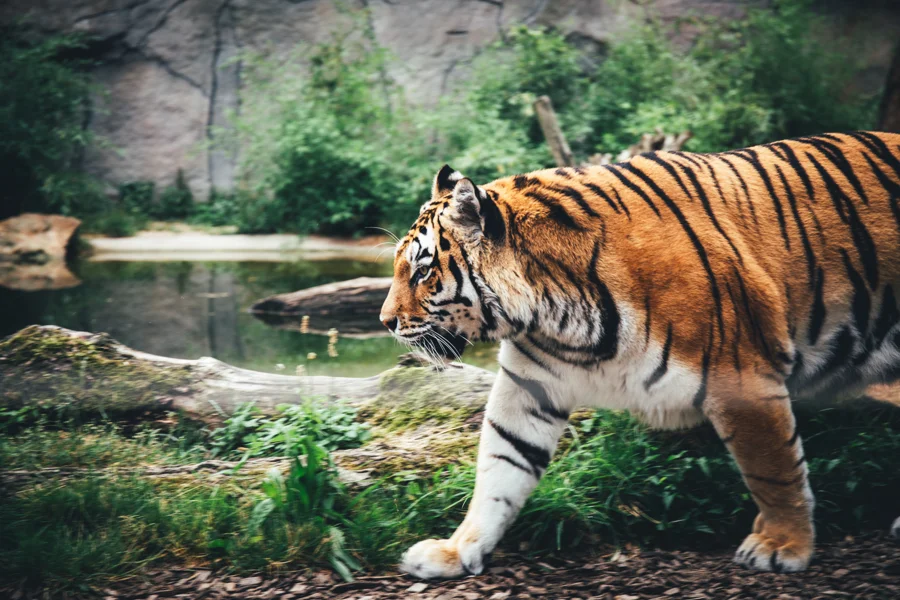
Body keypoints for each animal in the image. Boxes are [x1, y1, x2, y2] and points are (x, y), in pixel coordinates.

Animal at [379, 131, 900, 578]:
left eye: (423, 271)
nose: (385, 322)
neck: (553, 314)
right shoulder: (530, 387)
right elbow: (499, 469)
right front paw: (457, 550)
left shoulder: (744, 377)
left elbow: (773, 470)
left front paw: (783, 545)